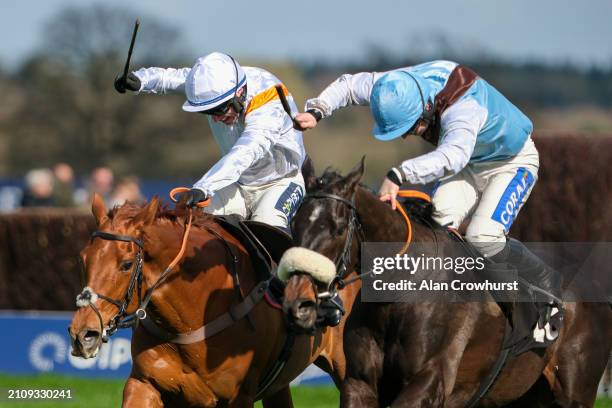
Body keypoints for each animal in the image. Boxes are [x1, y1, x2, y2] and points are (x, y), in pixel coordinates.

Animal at [280, 157, 612, 408]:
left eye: (337, 228)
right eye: (295, 222)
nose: (298, 302)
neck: (401, 293)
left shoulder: (430, 380)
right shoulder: (359, 383)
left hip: (574, 393)